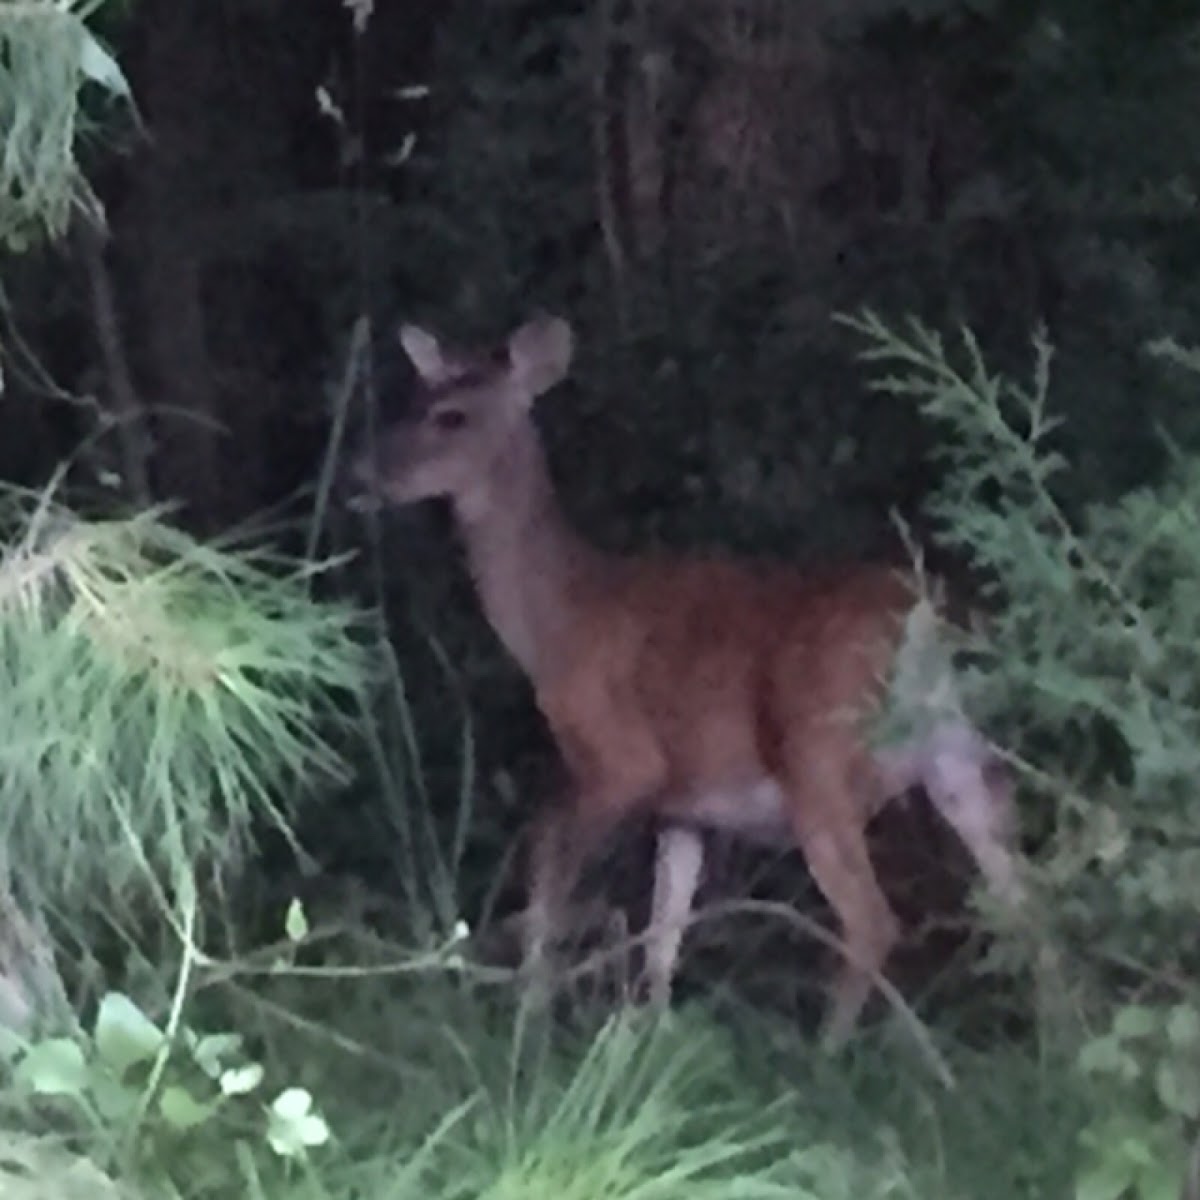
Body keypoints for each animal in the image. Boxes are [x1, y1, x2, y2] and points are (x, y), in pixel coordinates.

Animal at [345, 312, 1022, 1051]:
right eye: (409, 399)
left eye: (451, 416)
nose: (361, 472)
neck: (561, 621)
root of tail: (929, 622)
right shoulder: (684, 807)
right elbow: (662, 930)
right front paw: (648, 1035)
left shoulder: (618, 758)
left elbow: (547, 860)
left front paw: (532, 1016)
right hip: (959, 751)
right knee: (1025, 896)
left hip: (820, 759)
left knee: (874, 919)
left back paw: (825, 1056)